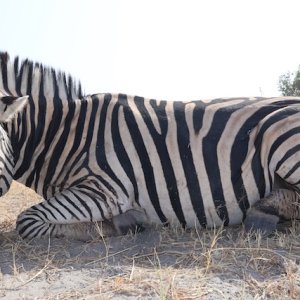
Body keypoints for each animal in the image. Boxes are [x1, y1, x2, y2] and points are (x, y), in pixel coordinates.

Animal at [0, 51, 300, 239]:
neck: (67, 136)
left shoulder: (106, 189)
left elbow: (26, 221)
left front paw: (115, 226)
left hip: (280, 137)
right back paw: (265, 212)